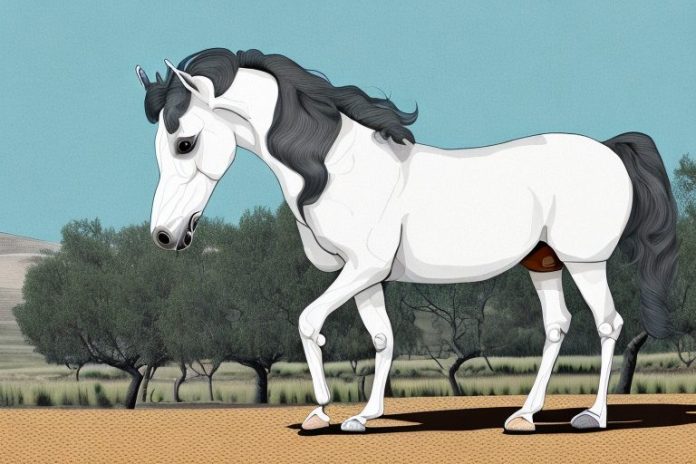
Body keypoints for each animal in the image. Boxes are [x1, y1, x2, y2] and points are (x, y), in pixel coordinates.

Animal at [136, 48, 677, 433]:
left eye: (185, 142)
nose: (165, 235)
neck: (335, 168)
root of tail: (610, 149)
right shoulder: (368, 279)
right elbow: (382, 338)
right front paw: (359, 417)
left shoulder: (362, 269)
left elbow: (310, 322)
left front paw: (321, 410)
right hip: (543, 263)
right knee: (557, 327)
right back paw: (523, 416)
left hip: (586, 262)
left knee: (608, 325)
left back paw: (593, 416)